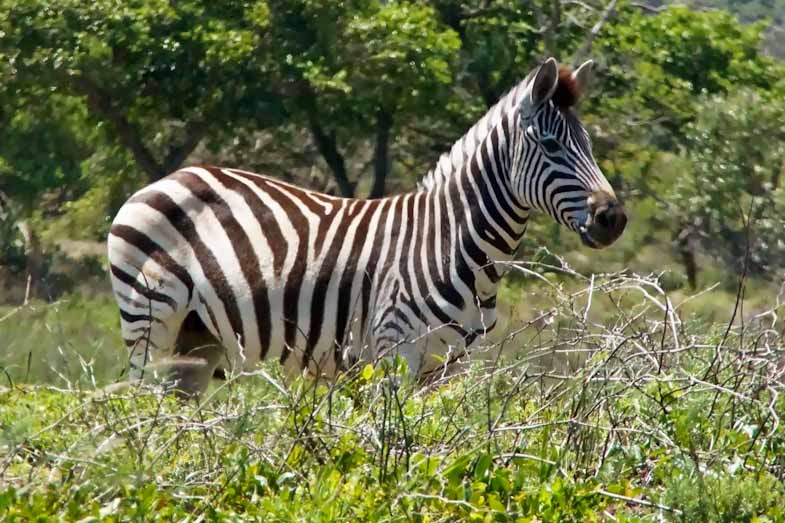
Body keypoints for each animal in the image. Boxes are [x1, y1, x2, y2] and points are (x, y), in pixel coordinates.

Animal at [107, 58, 627, 396]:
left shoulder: (449, 365)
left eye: (588, 143)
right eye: (552, 146)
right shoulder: (394, 350)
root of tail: (166, 179)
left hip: (197, 338)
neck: (452, 241)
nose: (614, 219)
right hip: (150, 322)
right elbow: (391, 448)